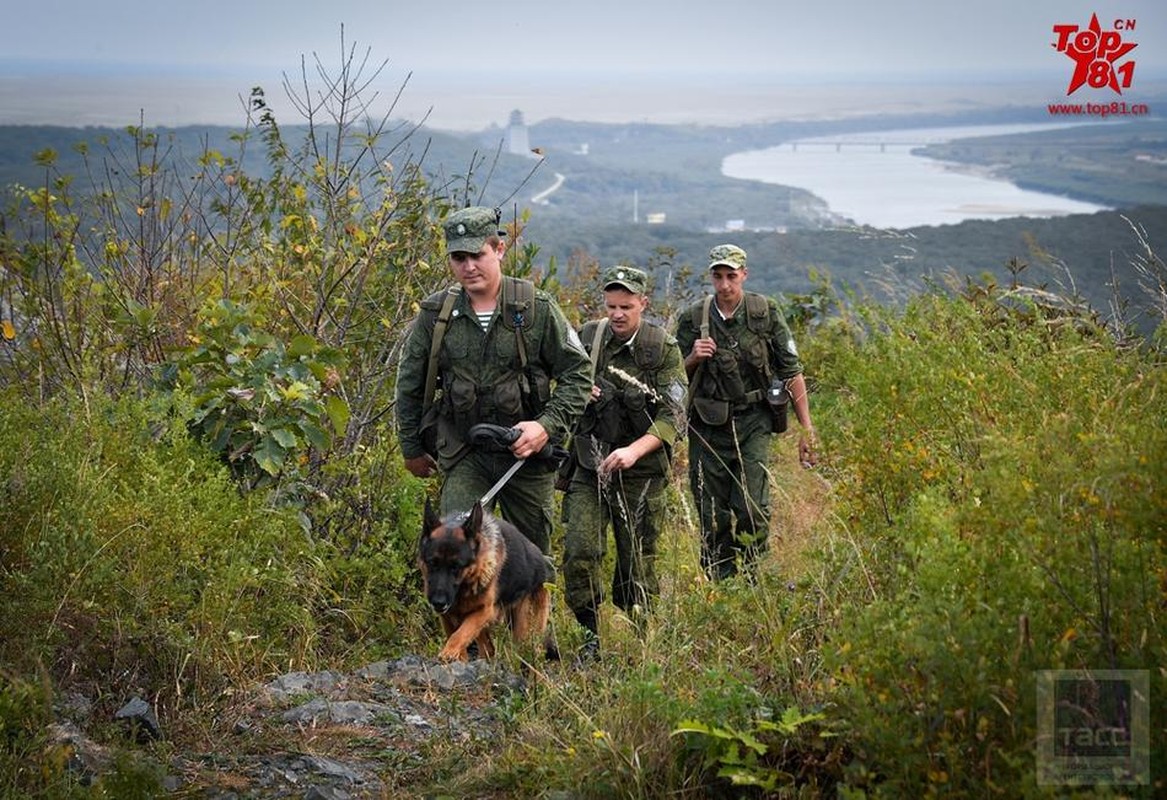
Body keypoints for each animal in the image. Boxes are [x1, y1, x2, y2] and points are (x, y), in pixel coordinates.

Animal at [422, 501, 557, 662]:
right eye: (432, 563)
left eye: (456, 566)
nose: (438, 602)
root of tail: (544, 563)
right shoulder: (447, 617)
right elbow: (456, 636)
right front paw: (457, 657)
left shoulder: (484, 611)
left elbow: (461, 633)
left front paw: (449, 652)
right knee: (489, 649)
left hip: (525, 629)